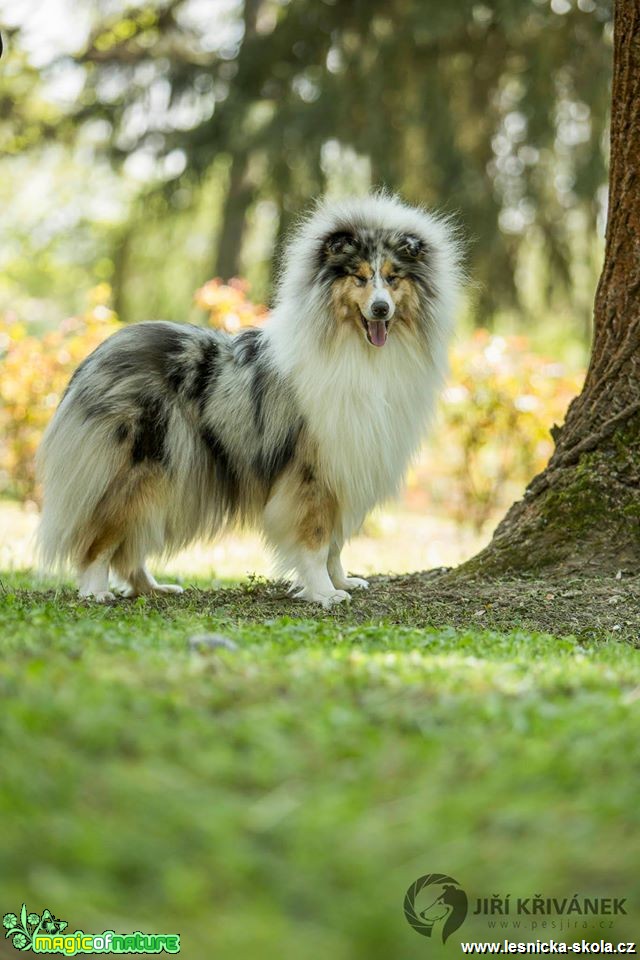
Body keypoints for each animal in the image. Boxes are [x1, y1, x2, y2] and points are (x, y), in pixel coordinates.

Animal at [37, 191, 460, 604]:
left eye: (392, 277)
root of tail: (97, 355)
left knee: (130, 544)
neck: (358, 350)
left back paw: (153, 588)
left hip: (166, 477)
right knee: (100, 535)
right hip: (135, 471)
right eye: (358, 277)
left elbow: (335, 543)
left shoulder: (345, 465)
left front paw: (342, 582)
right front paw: (324, 593)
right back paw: (96, 590)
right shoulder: (312, 471)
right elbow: (316, 540)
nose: (380, 309)